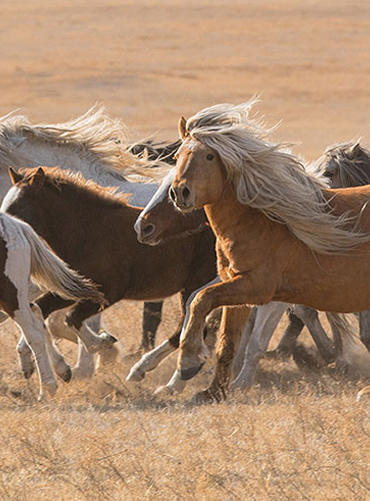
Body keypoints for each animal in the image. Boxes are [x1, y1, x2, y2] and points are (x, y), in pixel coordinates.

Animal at [0, 211, 102, 398]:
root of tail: (14, 224)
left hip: (11, 296)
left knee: (34, 331)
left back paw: (47, 388)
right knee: (37, 314)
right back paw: (62, 369)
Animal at [2, 166, 217, 374]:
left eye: (19, 206)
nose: (5, 232)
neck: (88, 232)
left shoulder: (110, 292)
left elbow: (72, 318)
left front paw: (103, 343)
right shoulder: (75, 287)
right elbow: (40, 309)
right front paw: (52, 367)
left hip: (195, 283)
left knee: (186, 326)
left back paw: (143, 368)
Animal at [170, 99, 370, 400]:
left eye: (209, 157)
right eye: (178, 155)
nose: (180, 192)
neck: (259, 221)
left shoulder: (256, 286)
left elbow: (200, 300)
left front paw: (188, 362)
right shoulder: (237, 288)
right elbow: (226, 343)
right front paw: (213, 392)